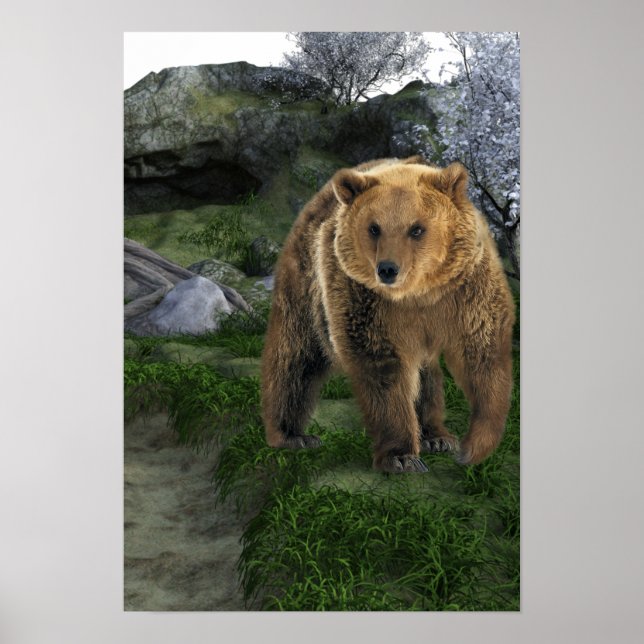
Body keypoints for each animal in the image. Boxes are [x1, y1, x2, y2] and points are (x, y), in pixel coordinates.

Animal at [261, 156, 515, 473]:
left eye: (416, 228)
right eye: (374, 228)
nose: (388, 269)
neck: (418, 293)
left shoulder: (466, 288)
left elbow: (481, 352)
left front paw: (474, 446)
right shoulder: (364, 299)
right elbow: (383, 368)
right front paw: (402, 456)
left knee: (426, 373)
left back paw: (435, 436)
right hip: (306, 286)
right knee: (295, 356)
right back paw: (291, 434)